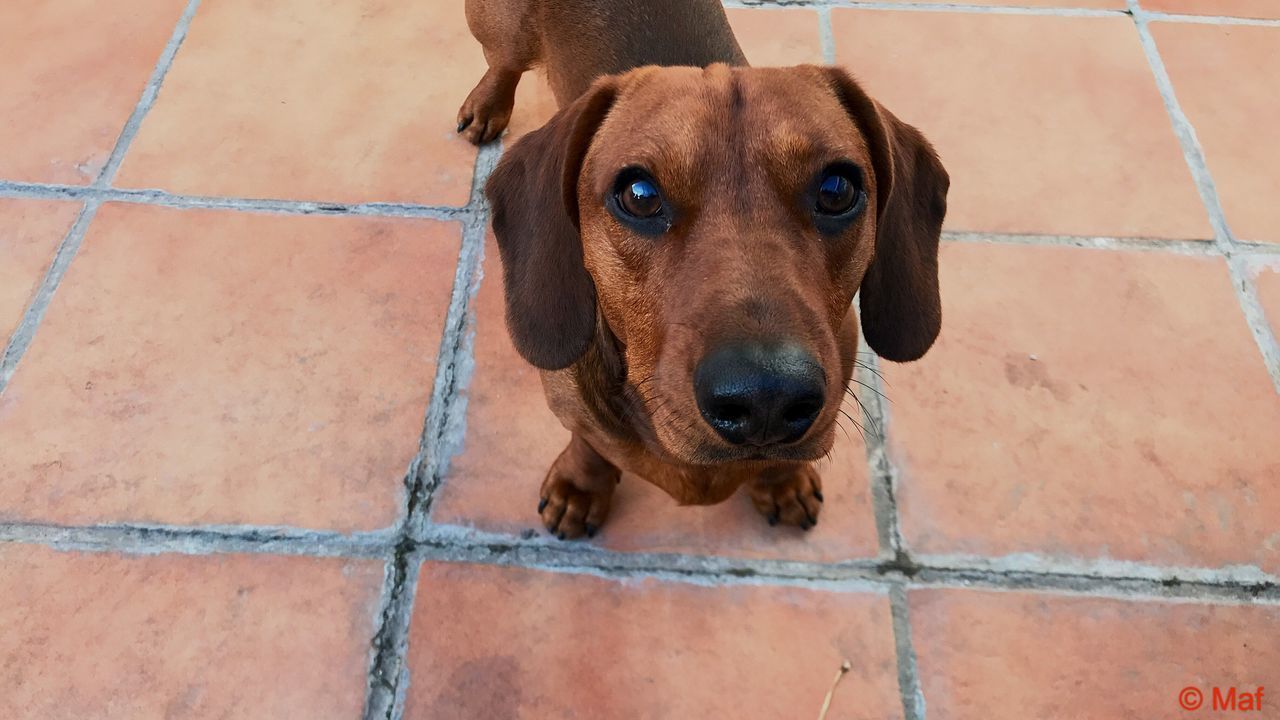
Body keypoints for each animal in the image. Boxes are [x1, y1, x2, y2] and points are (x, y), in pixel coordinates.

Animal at [455, 0, 947, 538]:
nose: (766, 399)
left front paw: (783, 481)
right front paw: (581, 487)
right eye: (639, 195)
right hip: (501, 31)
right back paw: (486, 104)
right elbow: (590, 444)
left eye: (838, 189)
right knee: (503, 64)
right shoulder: (574, 410)